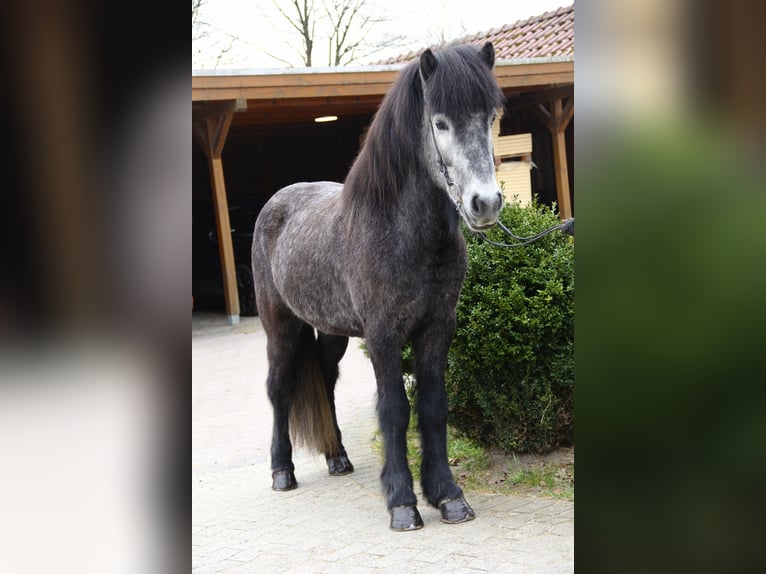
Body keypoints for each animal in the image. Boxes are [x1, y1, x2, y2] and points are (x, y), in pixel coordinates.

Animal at [251, 42, 505, 531]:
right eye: (440, 123)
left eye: (490, 118)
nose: (484, 204)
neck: (402, 232)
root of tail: (277, 202)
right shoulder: (383, 335)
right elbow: (394, 411)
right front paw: (403, 503)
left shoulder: (436, 329)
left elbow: (433, 408)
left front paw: (448, 497)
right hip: (280, 326)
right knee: (279, 388)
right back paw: (281, 472)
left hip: (331, 332)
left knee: (325, 380)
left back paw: (338, 458)